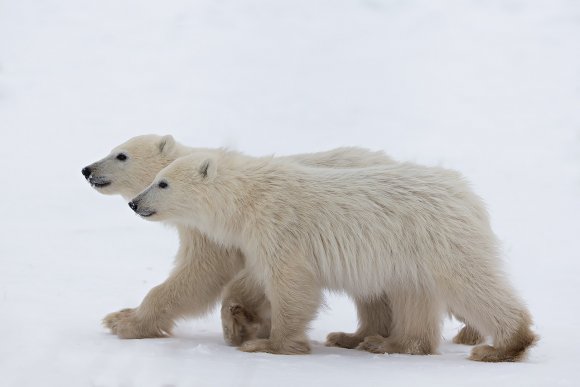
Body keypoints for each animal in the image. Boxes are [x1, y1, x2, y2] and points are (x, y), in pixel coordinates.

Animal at [129, 149, 536, 364]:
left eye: (162, 182)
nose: (134, 203)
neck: (250, 197)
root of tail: (468, 194)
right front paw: (243, 323)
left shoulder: (280, 227)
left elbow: (292, 284)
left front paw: (269, 344)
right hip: (409, 255)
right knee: (413, 296)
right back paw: (387, 343)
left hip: (438, 239)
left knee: (471, 283)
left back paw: (502, 346)